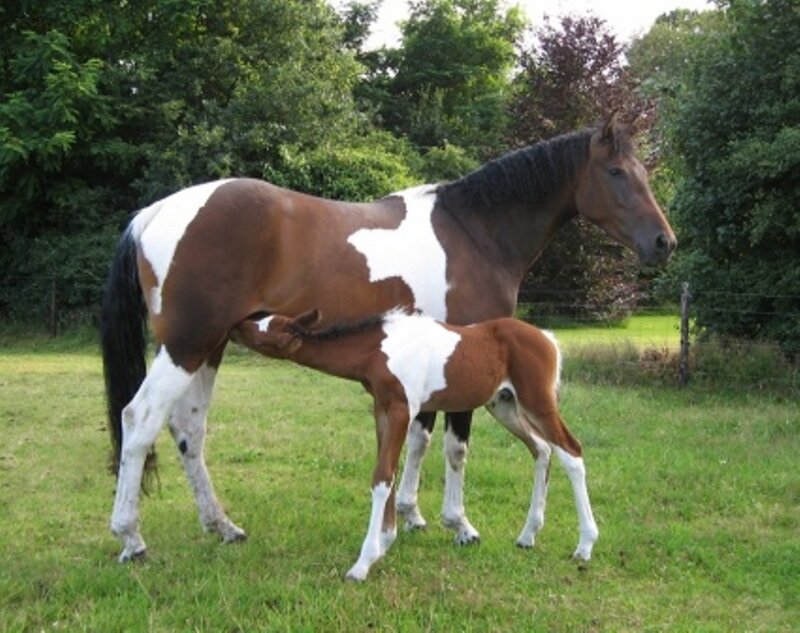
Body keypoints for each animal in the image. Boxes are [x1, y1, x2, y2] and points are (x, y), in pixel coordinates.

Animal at [229, 308, 596, 580]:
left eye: (264, 327)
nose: (236, 323)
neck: (379, 350)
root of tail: (548, 339)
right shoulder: (382, 410)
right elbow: (387, 473)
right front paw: (385, 540)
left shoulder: (402, 409)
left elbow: (382, 477)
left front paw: (364, 561)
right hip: (504, 405)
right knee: (542, 450)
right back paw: (528, 535)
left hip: (537, 401)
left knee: (572, 452)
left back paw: (585, 545)